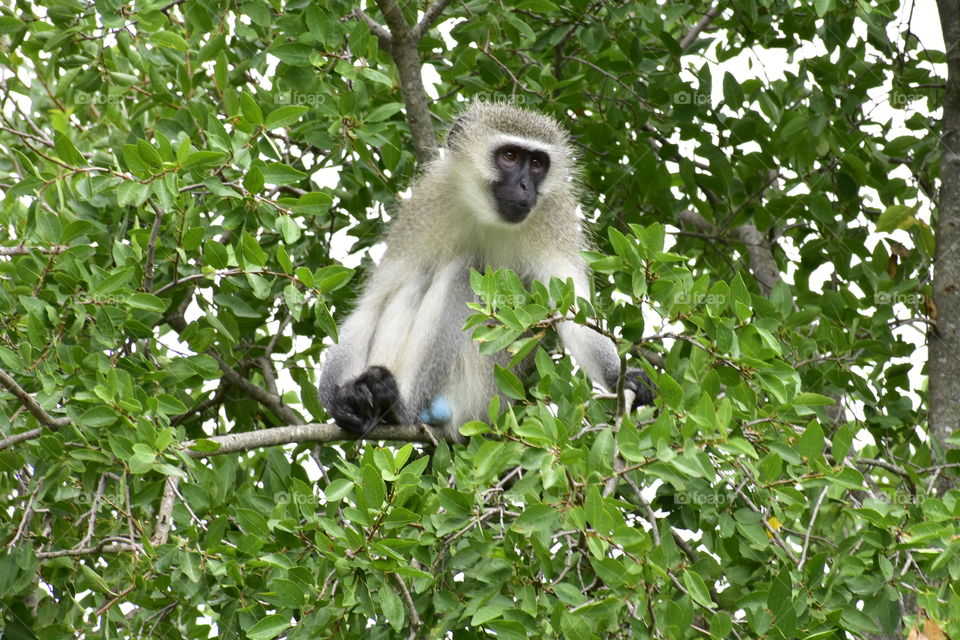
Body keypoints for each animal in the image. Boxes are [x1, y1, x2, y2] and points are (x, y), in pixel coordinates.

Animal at [319, 103, 655, 442]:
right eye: (509, 156)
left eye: (537, 163)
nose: (524, 186)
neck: (486, 215)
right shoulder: (425, 206)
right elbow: (373, 303)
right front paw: (338, 398)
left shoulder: (554, 217)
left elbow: (574, 315)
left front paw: (624, 378)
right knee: (417, 280)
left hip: (483, 394)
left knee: (461, 274)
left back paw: (398, 407)